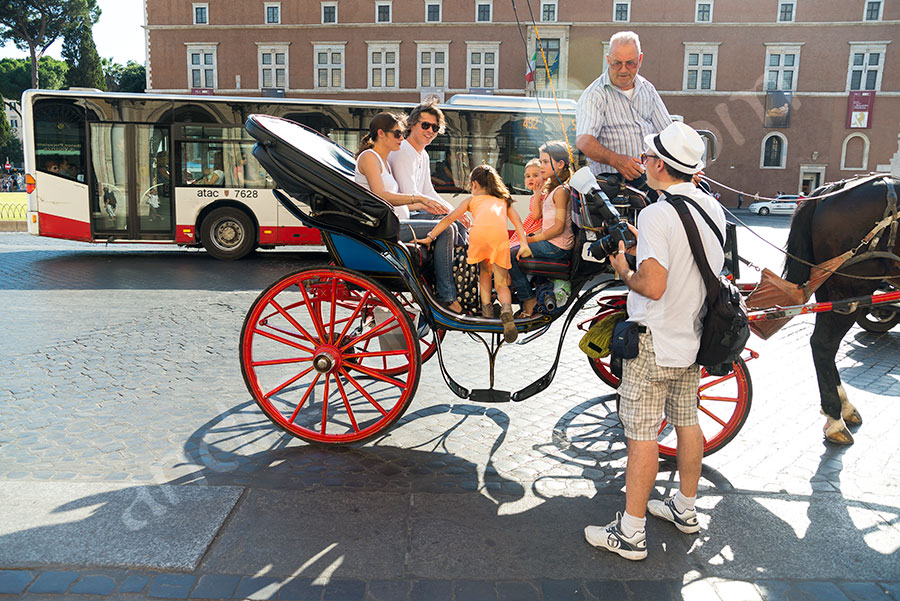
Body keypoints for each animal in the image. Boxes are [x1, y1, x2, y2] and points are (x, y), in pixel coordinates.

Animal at [780, 171, 900, 442]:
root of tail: (832, 190)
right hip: (852, 286)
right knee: (824, 344)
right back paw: (835, 418)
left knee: (824, 343)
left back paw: (842, 408)